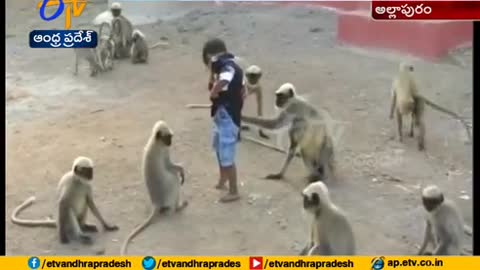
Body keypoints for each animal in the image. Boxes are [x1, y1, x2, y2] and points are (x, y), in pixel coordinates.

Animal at [120, 121, 188, 255]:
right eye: (168, 137)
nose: (170, 142)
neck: (155, 142)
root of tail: (156, 202)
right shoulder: (162, 150)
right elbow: (169, 166)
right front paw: (181, 170)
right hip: (167, 190)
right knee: (173, 178)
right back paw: (178, 207)